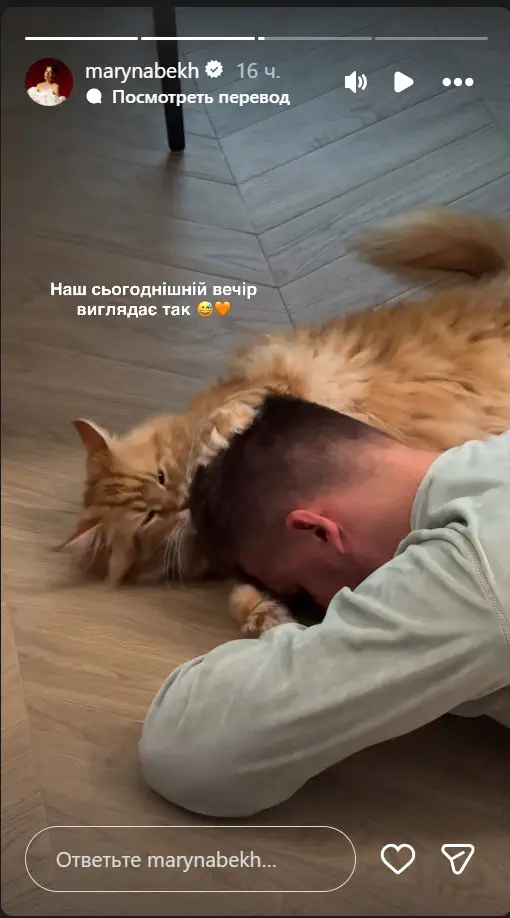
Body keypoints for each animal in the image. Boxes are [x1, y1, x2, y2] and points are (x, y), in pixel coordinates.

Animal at [60, 208, 510, 636]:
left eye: (160, 476)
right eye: (150, 518)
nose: (181, 502)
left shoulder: (276, 377)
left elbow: (225, 412)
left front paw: (214, 435)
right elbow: (242, 595)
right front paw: (264, 615)